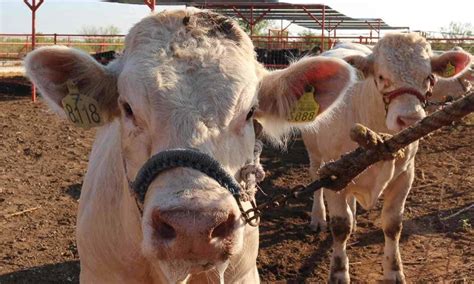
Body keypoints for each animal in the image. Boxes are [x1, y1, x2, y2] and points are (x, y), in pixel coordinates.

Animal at [302, 32, 472, 282]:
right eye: (381, 76)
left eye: (429, 77)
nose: (410, 119)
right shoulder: (334, 177)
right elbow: (340, 227)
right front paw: (339, 273)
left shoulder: (405, 175)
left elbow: (393, 224)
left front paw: (394, 271)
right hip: (314, 151)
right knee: (315, 180)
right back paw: (318, 218)